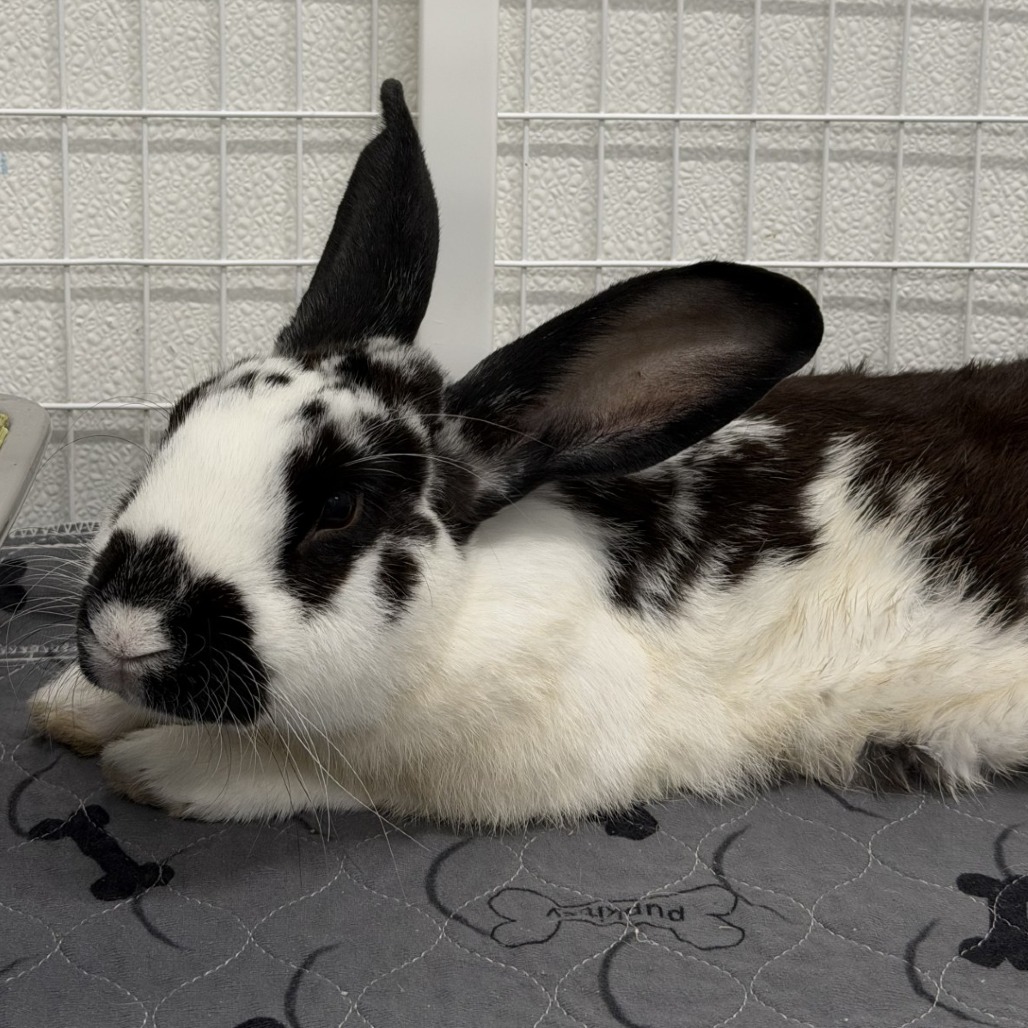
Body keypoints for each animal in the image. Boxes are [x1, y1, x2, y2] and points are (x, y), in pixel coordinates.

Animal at [27, 79, 1028, 826]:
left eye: (341, 508)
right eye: (178, 417)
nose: (125, 634)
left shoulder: (481, 765)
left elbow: (294, 772)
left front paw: (148, 764)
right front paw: (69, 706)